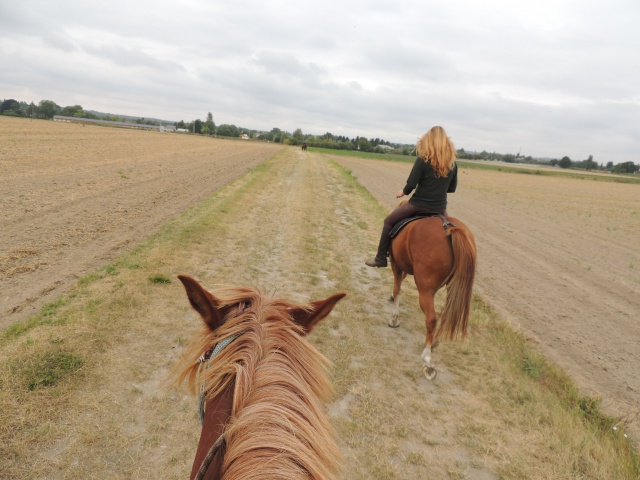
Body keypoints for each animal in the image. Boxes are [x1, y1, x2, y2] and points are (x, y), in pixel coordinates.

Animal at [388, 212, 472, 380]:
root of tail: (449, 228)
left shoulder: (396, 263)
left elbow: (397, 288)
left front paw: (394, 319)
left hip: (425, 289)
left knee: (431, 319)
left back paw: (427, 360)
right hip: (452, 289)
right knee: (445, 316)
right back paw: (434, 343)